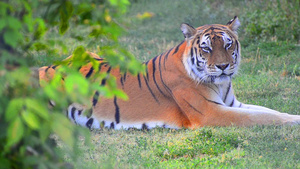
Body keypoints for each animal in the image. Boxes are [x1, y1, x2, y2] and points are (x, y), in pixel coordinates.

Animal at [38, 16, 300, 129]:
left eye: (228, 45)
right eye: (207, 48)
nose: (223, 66)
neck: (221, 83)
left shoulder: (233, 104)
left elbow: (269, 110)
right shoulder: (211, 113)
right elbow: (262, 117)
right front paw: (293, 122)